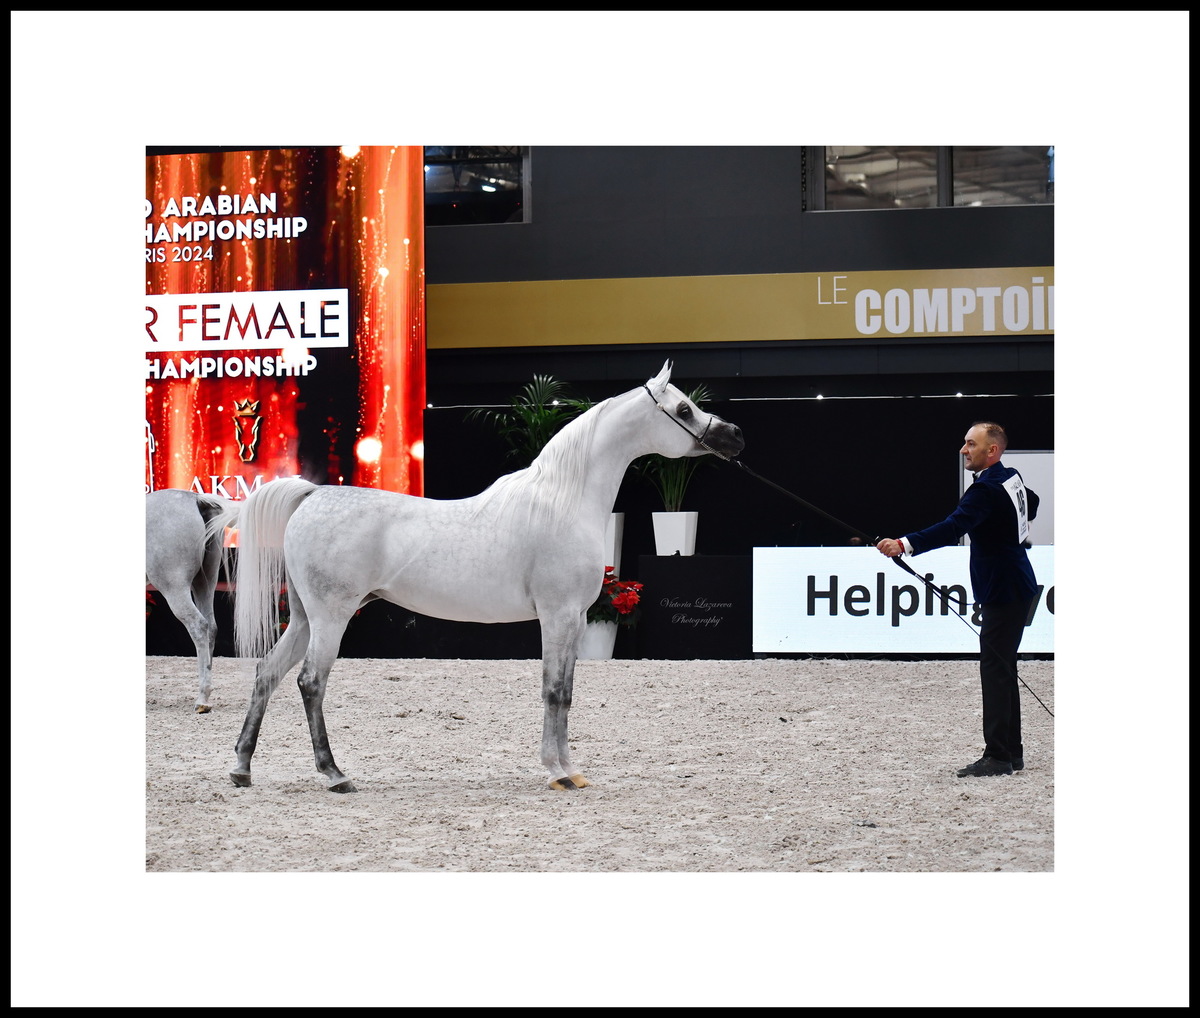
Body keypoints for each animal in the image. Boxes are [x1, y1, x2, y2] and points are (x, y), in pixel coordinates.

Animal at [145, 489, 238, 712]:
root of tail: (195, 499)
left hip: (175, 587)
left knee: (198, 626)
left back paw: (202, 699)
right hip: (205, 581)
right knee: (211, 627)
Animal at [206, 361, 744, 793]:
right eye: (684, 409)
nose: (736, 436)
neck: (563, 501)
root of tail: (314, 495)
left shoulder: (573, 620)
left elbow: (566, 692)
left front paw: (570, 768)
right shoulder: (558, 616)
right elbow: (554, 691)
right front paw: (558, 772)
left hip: (303, 618)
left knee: (267, 674)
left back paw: (241, 768)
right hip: (331, 618)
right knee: (310, 682)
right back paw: (335, 775)